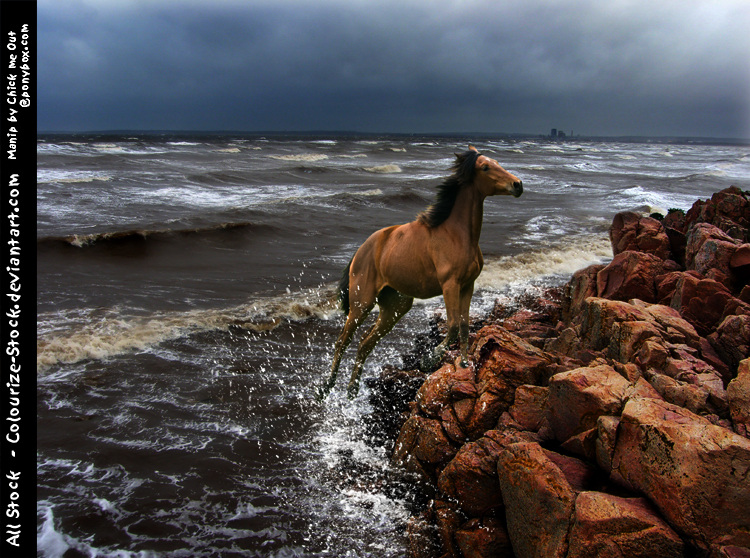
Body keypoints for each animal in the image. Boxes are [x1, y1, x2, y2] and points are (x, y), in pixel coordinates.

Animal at [320, 147, 524, 400]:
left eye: (496, 161)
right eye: (485, 167)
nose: (518, 184)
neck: (455, 233)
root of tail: (359, 252)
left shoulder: (468, 286)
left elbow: (465, 326)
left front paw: (464, 364)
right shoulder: (450, 285)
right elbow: (453, 325)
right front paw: (430, 358)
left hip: (395, 308)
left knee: (365, 343)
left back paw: (352, 389)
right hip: (362, 303)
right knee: (342, 341)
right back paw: (326, 387)